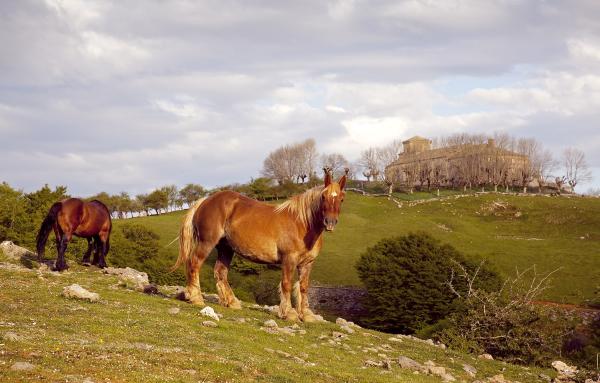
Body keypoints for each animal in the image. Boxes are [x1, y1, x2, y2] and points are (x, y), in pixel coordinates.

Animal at [173, 170, 346, 322]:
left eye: (342, 199)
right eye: (323, 196)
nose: (330, 222)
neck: (301, 224)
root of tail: (206, 200)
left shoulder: (307, 263)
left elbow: (303, 287)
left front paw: (306, 315)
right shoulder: (289, 260)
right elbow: (286, 284)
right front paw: (289, 313)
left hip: (225, 248)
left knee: (220, 272)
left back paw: (232, 302)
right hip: (206, 243)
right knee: (194, 264)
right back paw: (196, 298)